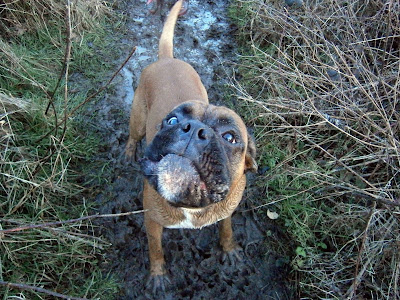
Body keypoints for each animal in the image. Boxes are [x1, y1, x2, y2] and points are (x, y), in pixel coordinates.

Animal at [125, 0, 256, 292]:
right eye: (172, 120)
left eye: (230, 137)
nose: (194, 129)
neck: (191, 207)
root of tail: (166, 59)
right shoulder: (152, 221)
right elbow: (156, 250)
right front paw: (158, 276)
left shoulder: (226, 211)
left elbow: (226, 229)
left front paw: (229, 249)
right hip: (137, 119)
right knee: (132, 135)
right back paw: (128, 151)